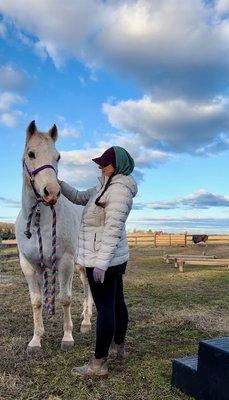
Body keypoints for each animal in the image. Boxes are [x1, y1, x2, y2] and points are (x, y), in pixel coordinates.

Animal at [15, 121, 93, 350]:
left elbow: (65, 298)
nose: (51, 192)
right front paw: (36, 339)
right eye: (31, 154)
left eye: (57, 156)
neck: (40, 222)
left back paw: (87, 322)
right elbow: (36, 301)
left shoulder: (65, 261)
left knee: (88, 287)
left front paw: (67, 337)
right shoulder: (30, 265)